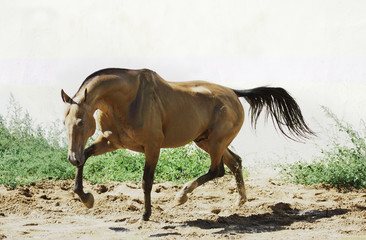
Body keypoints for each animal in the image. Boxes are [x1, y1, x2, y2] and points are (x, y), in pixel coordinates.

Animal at [60, 67, 314, 221]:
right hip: (206, 142)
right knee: (235, 163)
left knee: (217, 170)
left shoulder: (152, 147)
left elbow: (146, 181)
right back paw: (239, 201)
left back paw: (181, 196)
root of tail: (233, 93)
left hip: (215, 143)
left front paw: (145, 215)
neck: (127, 99)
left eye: (81, 121)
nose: (71, 157)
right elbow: (86, 157)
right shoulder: (110, 142)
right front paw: (87, 199)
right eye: (65, 120)